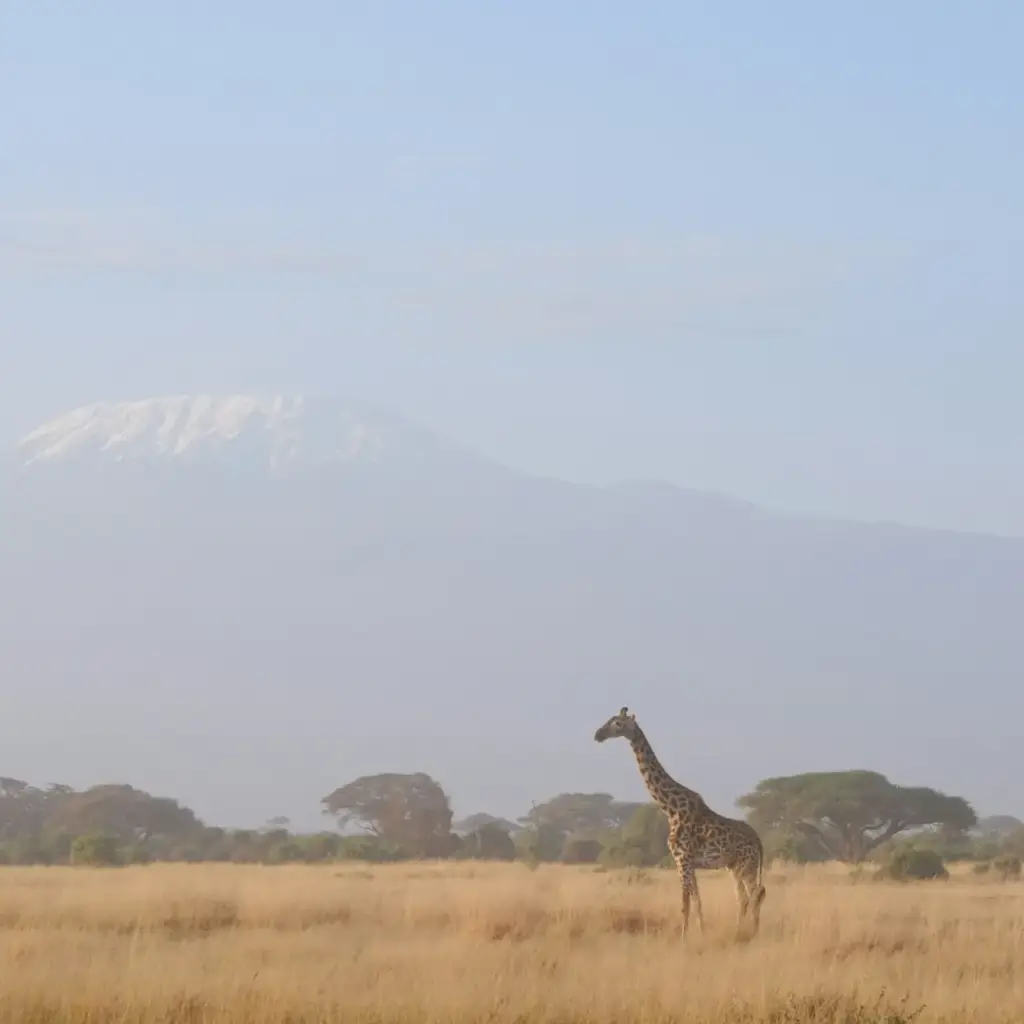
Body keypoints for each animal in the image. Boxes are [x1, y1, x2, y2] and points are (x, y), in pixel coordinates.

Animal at [594, 706, 766, 939]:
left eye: (618, 723)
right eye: (609, 720)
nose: (598, 735)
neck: (670, 808)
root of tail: (758, 840)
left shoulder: (682, 859)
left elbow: (685, 904)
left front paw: (684, 939)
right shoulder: (688, 862)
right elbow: (697, 902)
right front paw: (701, 933)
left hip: (747, 865)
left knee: (755, 894)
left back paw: (752, 934)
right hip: (734, 866)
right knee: (744, 897)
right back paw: (738, 931)